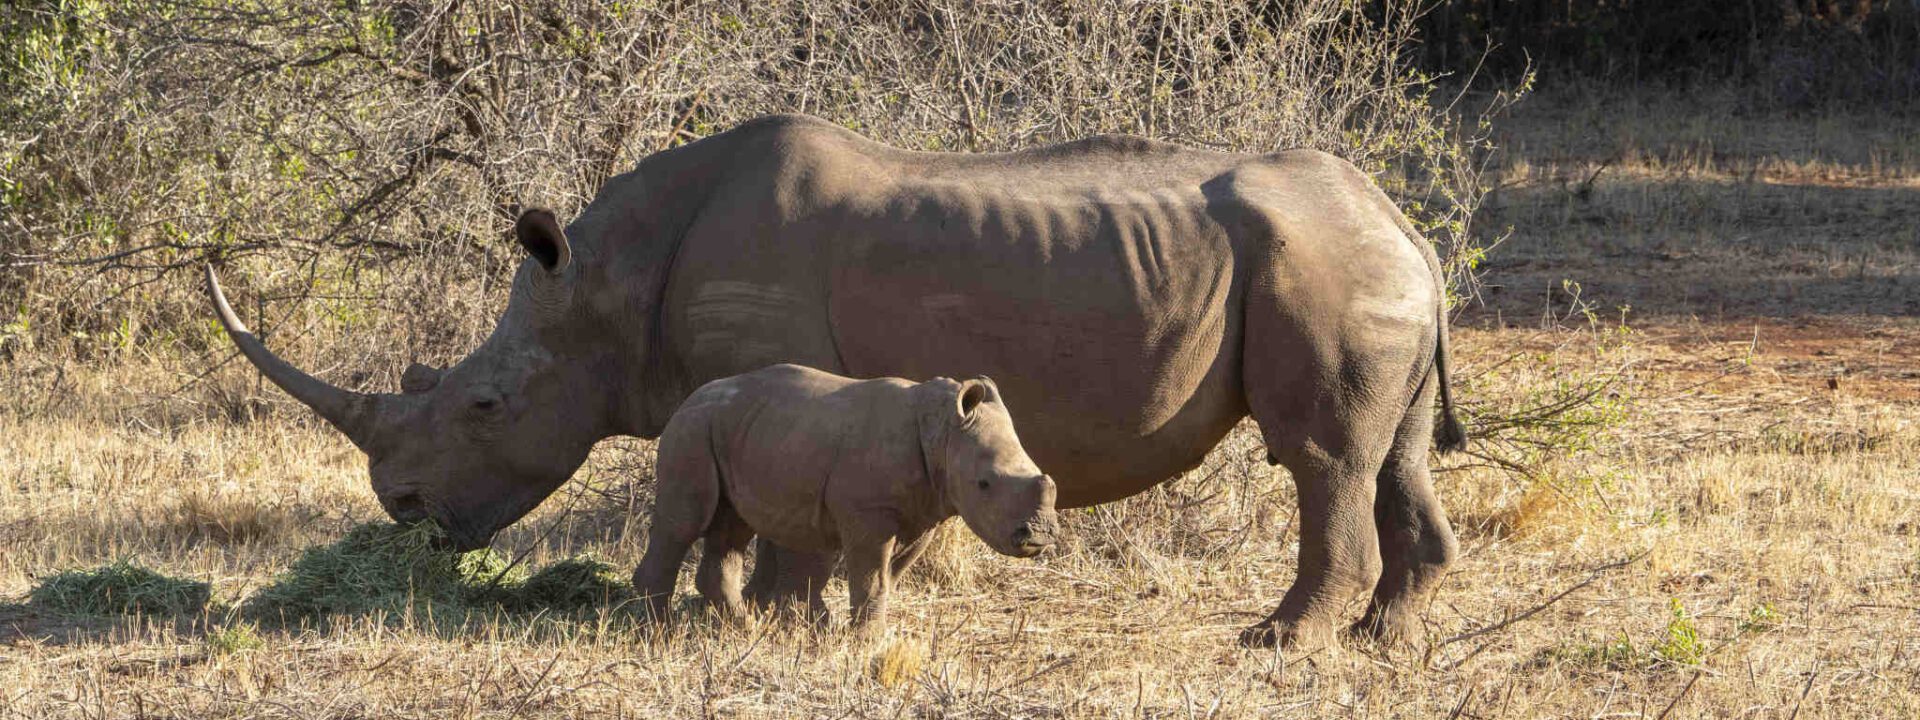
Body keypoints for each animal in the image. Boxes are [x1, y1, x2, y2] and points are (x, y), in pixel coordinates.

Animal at [634, 364, 1057, 632]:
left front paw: (856, 632)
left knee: (732, 527)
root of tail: (689, 397)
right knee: (684, 523)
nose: (1037, 536)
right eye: (984, 484)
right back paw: (656, 629)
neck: (943, 430)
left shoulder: (924, 512)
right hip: (693, 427)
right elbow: (872, 576)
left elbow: (890, 576)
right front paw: (864, 640)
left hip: (739, 430)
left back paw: (742, 627)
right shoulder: (869, 513)